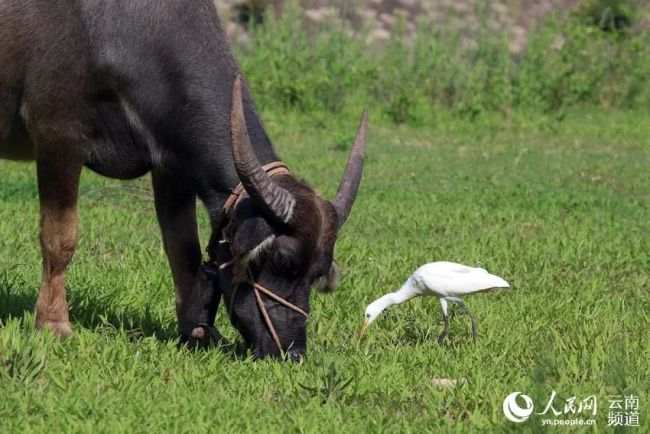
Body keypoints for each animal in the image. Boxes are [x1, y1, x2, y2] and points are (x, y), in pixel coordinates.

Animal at [0, 0, 364, 360]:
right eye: (280, 261)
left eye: (317, 273)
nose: (293, 352)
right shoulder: (58, 137)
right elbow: (60, 240)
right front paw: (54, 325)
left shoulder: (171, 166)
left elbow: (183, 248)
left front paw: (197, 332)